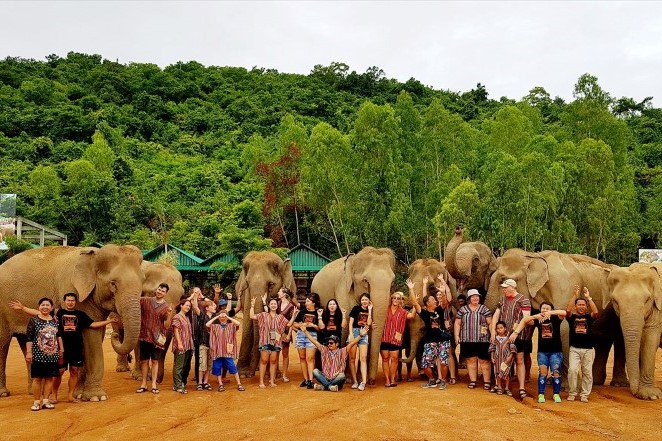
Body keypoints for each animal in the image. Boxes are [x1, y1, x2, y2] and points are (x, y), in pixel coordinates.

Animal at [0, 244, 145, 398]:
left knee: (26, 343)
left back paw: (34, 392)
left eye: (142, 282)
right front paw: (96, 397)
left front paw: (79, 394)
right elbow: (91, 335)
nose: (116, 334)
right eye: (113, 283)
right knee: (2, 343)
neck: (95, 255)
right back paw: (4, 393)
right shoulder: (74, 291)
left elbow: (94, 332)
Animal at [310, 246, 396, 384]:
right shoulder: (343, 289)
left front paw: (360, 378)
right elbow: (345, 326)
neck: (354, 260)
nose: (371, 381)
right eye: (365, 281)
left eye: (392, 282)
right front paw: (348, 379)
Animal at [482, 249, 628, 386]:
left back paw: (616, 384)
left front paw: (568, 386)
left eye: (502, 280)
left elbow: (564, 327)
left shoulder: (564, 285)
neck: (533, 256)